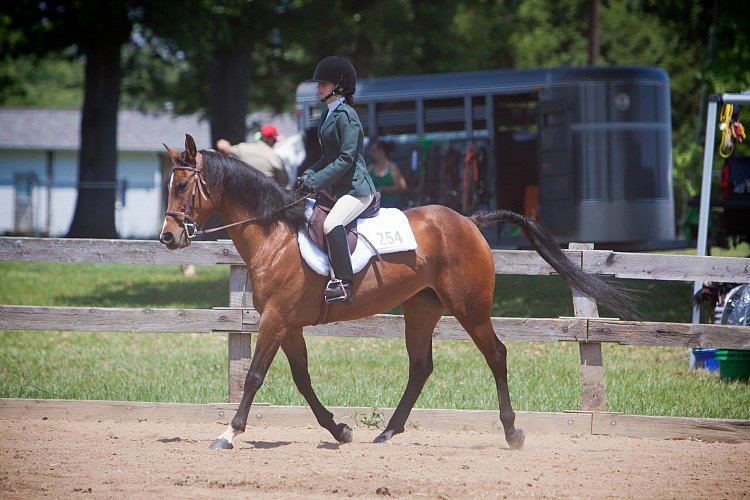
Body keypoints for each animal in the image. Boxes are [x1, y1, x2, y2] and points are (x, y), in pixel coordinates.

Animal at [162, 135, 636, 452]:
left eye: (182, 187)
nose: (168, 237)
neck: (274, 235)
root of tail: (469, 221)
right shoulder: (289, 323)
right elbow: (302, 379)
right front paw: (339, 430)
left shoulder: (276, 318)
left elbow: (255, 376)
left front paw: (228, 433)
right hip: (421, 310)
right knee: (420, 367)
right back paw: (388, 431)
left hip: (470, 308)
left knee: (496, 355)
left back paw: (511, 432)